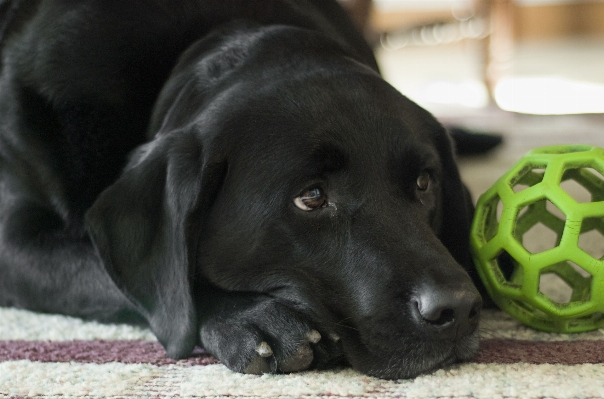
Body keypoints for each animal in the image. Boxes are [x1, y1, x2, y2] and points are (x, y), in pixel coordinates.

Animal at [0, 0, 482, 382]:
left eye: (423, 182)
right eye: (311, 197)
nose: (457, 308)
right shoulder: (15, 246)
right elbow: (140, 282)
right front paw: (254, 320)